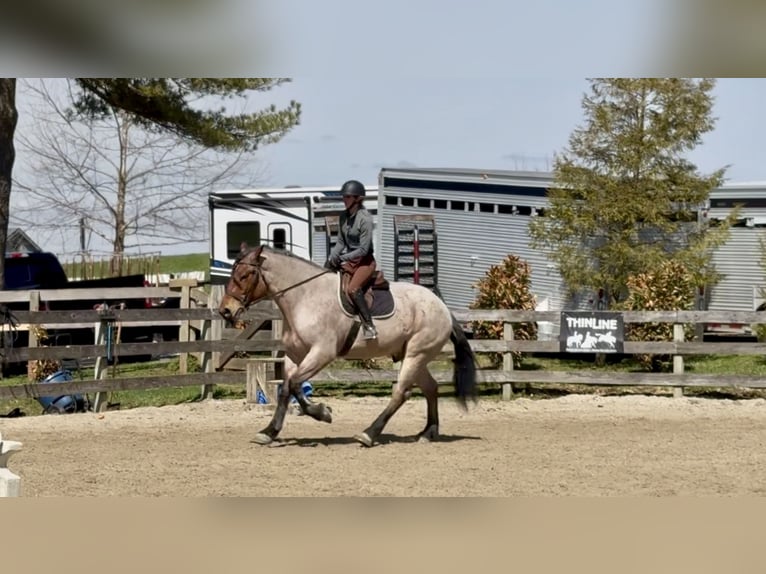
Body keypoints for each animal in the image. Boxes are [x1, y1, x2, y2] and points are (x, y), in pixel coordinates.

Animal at [218, 244, 477, 447]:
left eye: (245, 275)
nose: (225, 311)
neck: (304, 297)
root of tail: (442, 307)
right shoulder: (295, 356)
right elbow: (288, 389)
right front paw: (270, 432)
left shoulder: (322, 353)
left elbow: (294, 384)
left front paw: (320, 413)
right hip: (413, 356)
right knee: (430, 388)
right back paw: (428, 432)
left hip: (416, 354)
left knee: (401, 392)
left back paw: (369, 434)